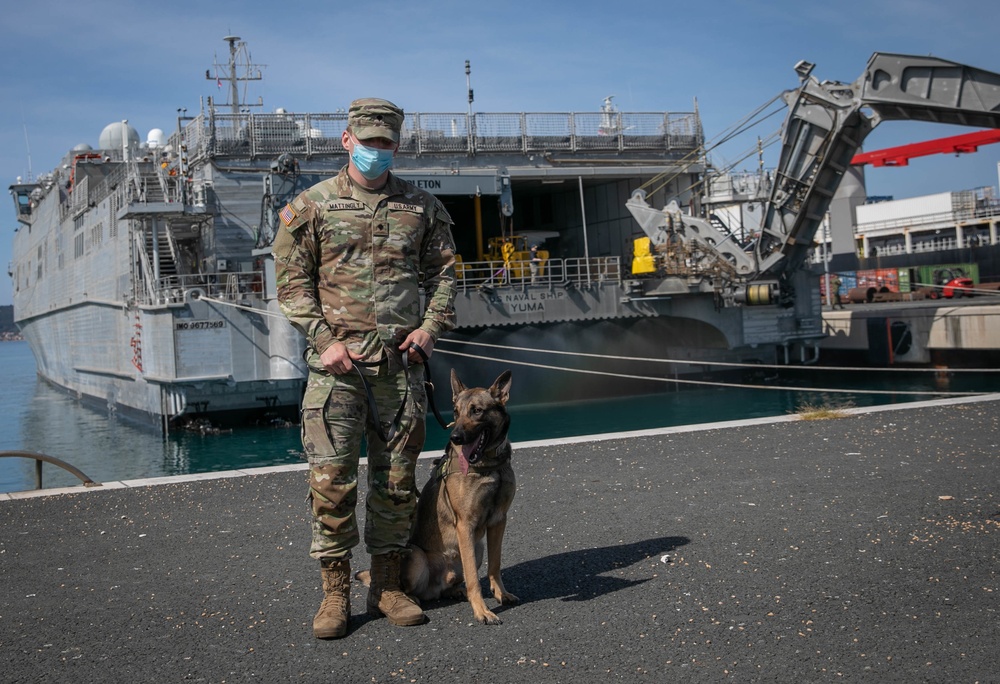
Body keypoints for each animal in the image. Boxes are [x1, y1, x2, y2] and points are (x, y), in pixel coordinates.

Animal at [358, 368, 516, 624]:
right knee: (411, 589)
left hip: (477, 548)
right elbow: (474, 579)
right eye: (456, 412)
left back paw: (453, 591)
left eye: (477, 411)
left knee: (446, 587)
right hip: (418, 557)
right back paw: (410, 601)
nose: (455, 437)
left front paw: (501, 594)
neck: (489, 464)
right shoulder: (465, 525)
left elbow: (495, 565)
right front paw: (482, 611)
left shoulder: (498, 521)